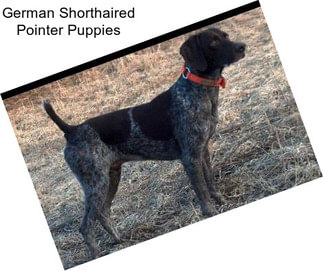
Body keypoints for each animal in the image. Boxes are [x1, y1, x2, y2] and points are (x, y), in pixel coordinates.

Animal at [42, 27, 246, 260]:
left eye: (226, 36)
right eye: (213, 42)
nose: (242, 47)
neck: (198, 91)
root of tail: (72, 129)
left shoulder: (203, 151)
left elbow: (211, 183)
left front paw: (222, 202)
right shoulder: (190, 158)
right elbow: (202, 191)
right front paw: (211, 212)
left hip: (110, 178)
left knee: (103, 213)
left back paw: (119, 240)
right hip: (95, 184)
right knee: (85, 227)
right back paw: (96, 254)